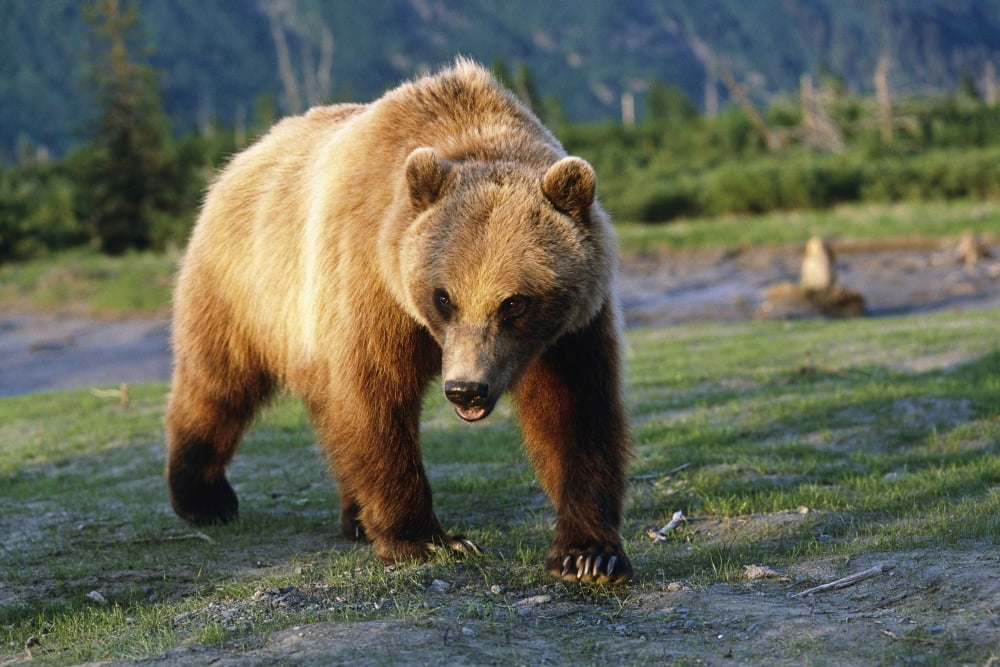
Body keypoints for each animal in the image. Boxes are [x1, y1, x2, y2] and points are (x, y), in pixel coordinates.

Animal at [165, 59, 631, 585]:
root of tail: (238, 160)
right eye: (444, 296)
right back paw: (204, 498)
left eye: (513, 303)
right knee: (218, 384)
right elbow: (375, 400)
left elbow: (577, 411)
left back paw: (354, 516)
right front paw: (427, 540)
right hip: (244, 288)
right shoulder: (371, 283)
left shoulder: (569, 329)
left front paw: (589, 554)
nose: (466, 390)